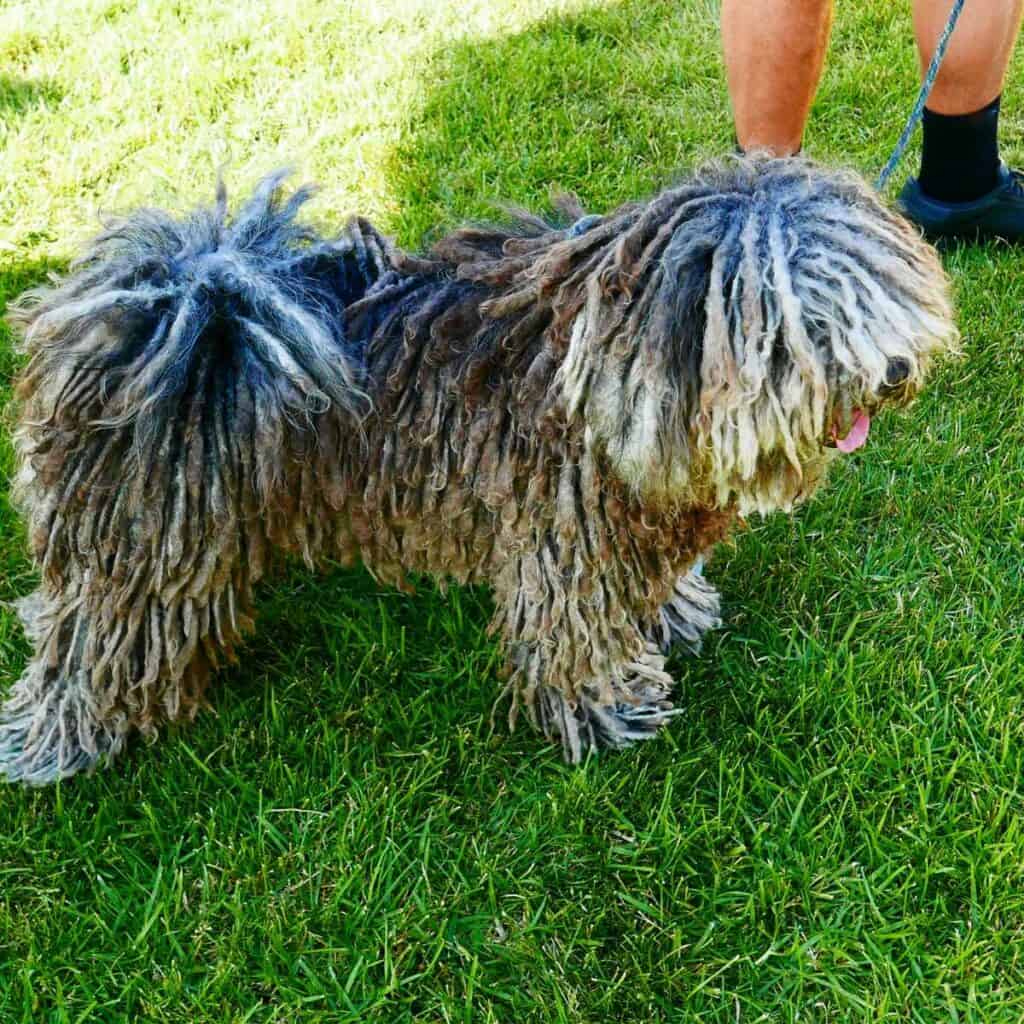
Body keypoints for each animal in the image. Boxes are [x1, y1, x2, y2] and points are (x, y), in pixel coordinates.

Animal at [2, 157, 958, 782]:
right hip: (144, 533)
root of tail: (167, 299)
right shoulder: (563, 538)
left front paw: (675, 611)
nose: (893, 372)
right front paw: (604, 709)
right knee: (92, 641)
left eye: (875, 289)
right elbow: (572, 633)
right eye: (800, 323)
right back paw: (57, 743)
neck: (610, 363)